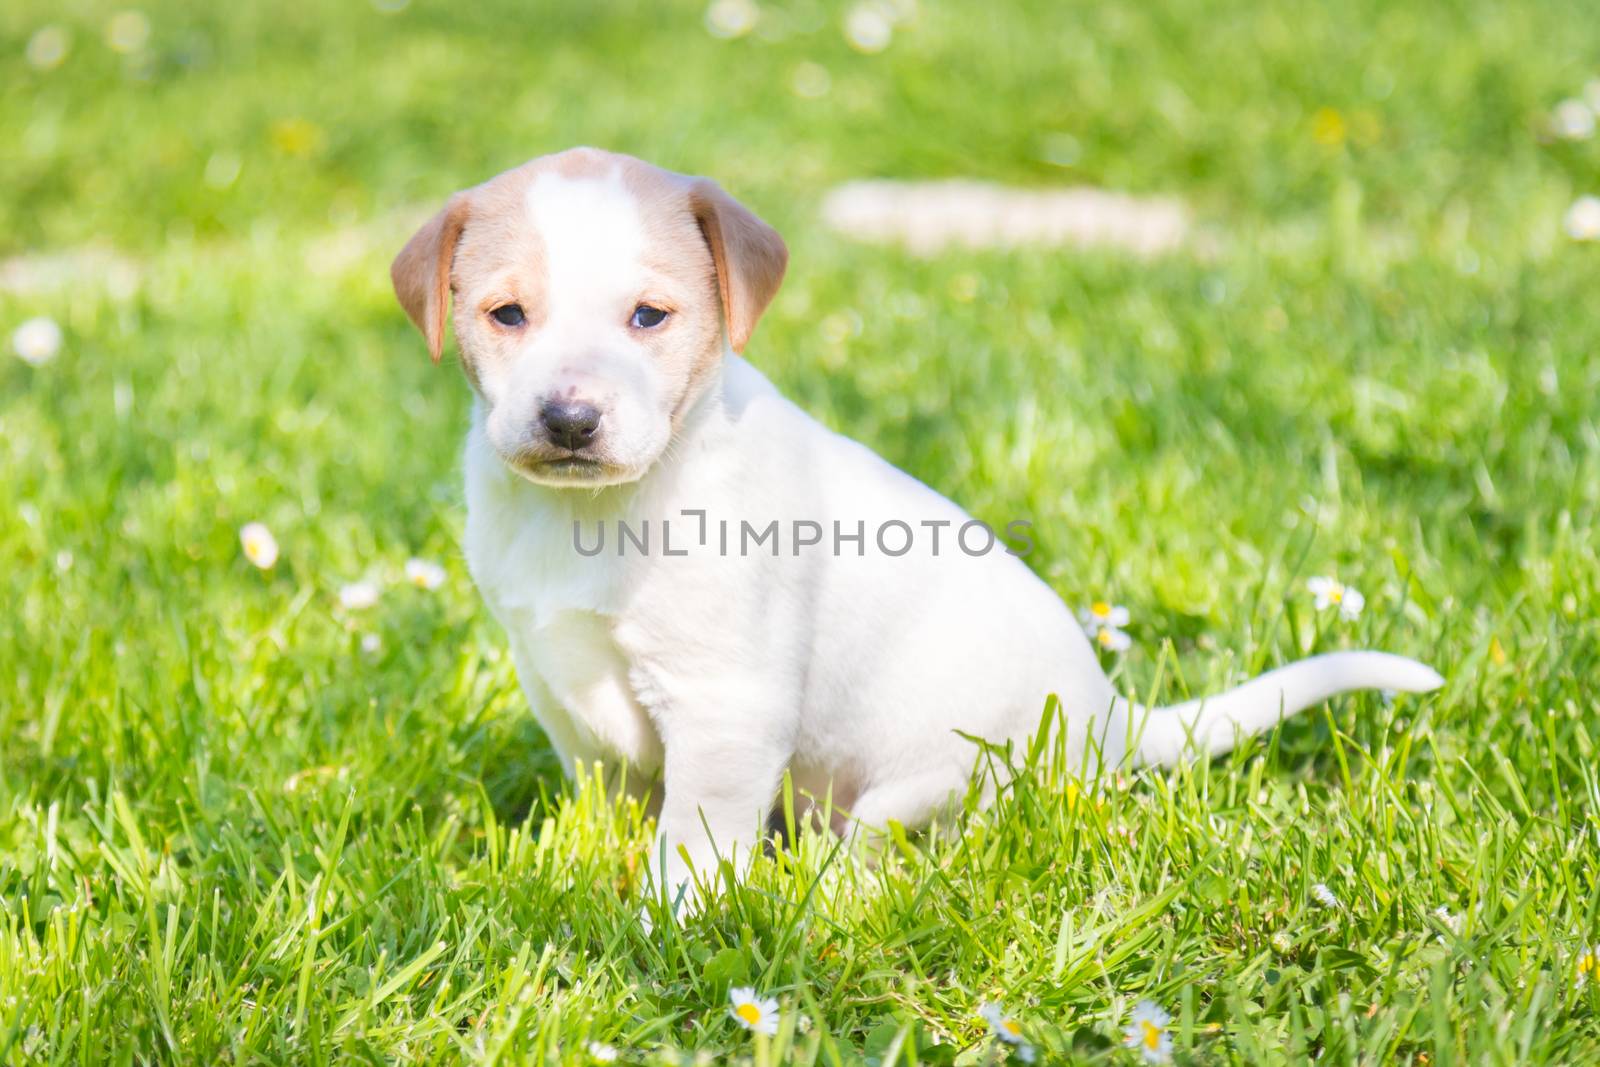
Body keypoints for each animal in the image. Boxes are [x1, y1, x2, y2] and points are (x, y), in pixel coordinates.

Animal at [393, 147, 1446, 902]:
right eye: (507, 314)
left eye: (649, 316)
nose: (570, 419)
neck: (593, 513)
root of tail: (1113, 718)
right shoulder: (562, 688)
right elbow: (610, 797)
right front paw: (580, 869)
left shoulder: (727, 704)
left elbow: (695, 836)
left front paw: (669, 922)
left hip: (939, 773)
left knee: (883, 845)